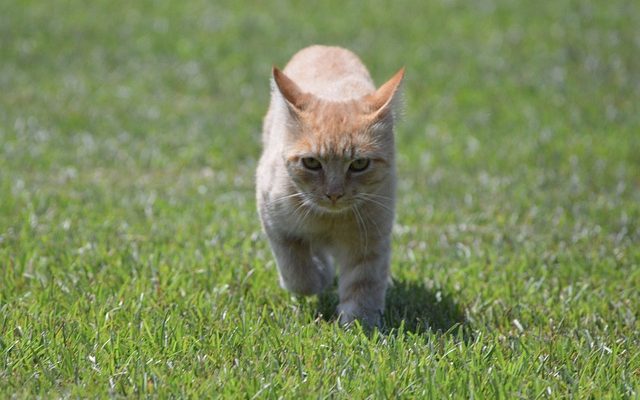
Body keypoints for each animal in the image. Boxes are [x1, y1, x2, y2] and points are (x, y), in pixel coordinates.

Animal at [256, 45, 402, 326]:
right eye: (312, 162)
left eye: (359, 164)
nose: (334, 194)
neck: (329, 221)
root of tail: (326, 47)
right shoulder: (274, 221)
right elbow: (297, 271)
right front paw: (318, 277)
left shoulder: (371, 240)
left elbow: (364, 283)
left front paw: (359, 324)